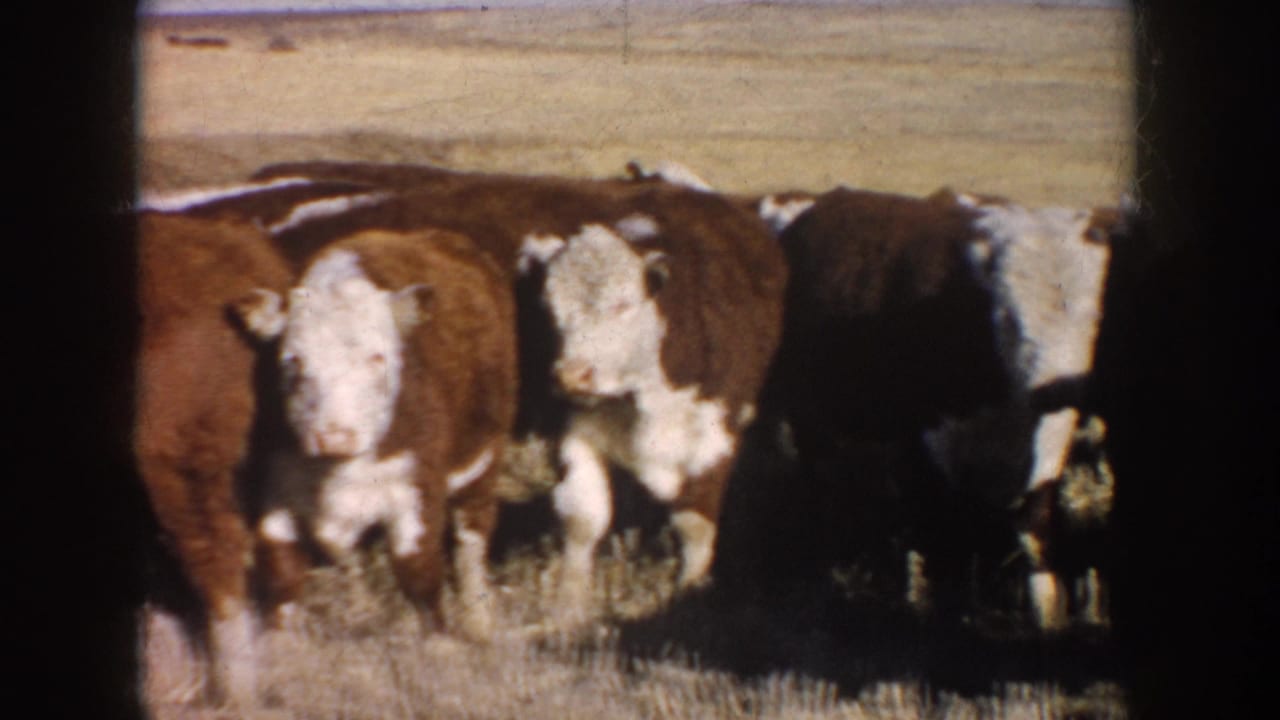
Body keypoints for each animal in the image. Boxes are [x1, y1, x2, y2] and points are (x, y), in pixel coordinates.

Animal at [231, 226, 517, 642]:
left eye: (377, 357)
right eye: (293, 360)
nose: (334, 436)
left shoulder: (416, 487)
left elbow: (419, 571)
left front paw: (440, 643)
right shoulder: (275, 496)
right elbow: (282, 574)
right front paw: (282, 643)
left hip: (484, 460)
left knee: (472, 539)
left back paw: (476, 620)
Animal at [758, 185, 1120, 630]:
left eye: (1096, 321)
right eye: (1009, 317)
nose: (1061, 387)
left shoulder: (1047, 438)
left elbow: (1034, 524)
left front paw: (1047, 615)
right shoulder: (926, 439)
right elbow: (942, 529)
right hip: (812, 418)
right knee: (823, 482)